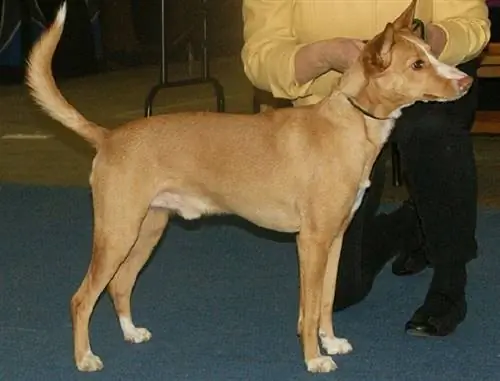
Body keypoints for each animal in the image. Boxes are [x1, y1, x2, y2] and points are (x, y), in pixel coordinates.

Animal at [26, 0, 472, 374]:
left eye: (431, 51)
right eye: (417, 64)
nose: (465, 81)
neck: (346, 124)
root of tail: (108, 136)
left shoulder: (335, 238)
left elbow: (326, 300)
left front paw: (331, 342)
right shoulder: (311, 241)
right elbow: (310, 307)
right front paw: (314, 359)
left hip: (148, 228)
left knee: (119, 285)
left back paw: (131, 333)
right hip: (117, 231)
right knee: (82, 298)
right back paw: (85, 358)